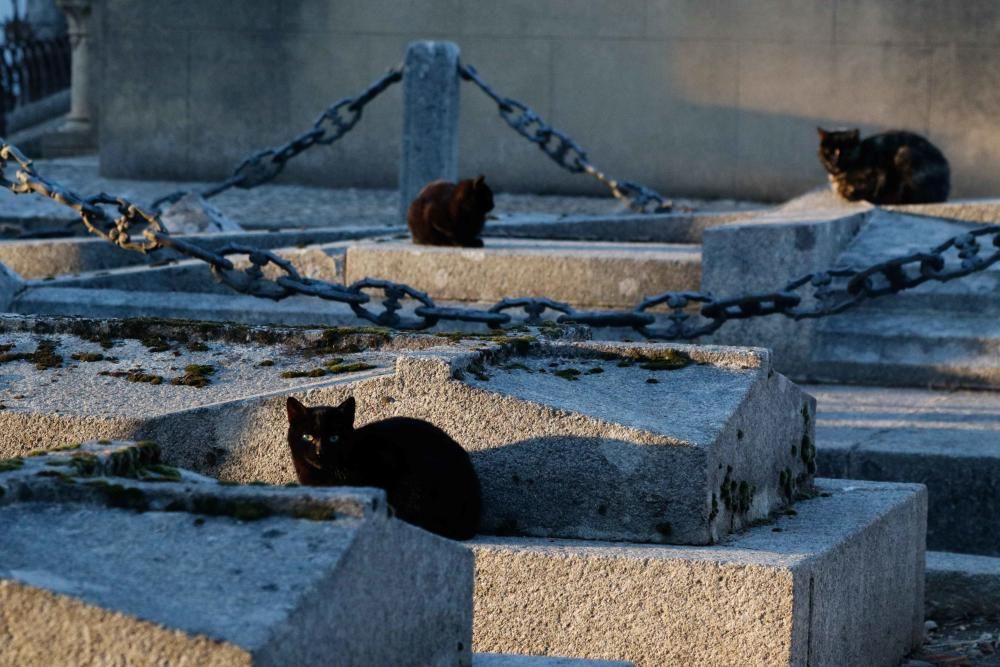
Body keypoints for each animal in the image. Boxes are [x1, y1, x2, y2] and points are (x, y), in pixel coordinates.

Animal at [816, 128, 948, 205]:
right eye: (828, 153)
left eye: (847, 153)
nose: (835, 163)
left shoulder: (878, 174)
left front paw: (849, 192)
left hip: (904, 153)